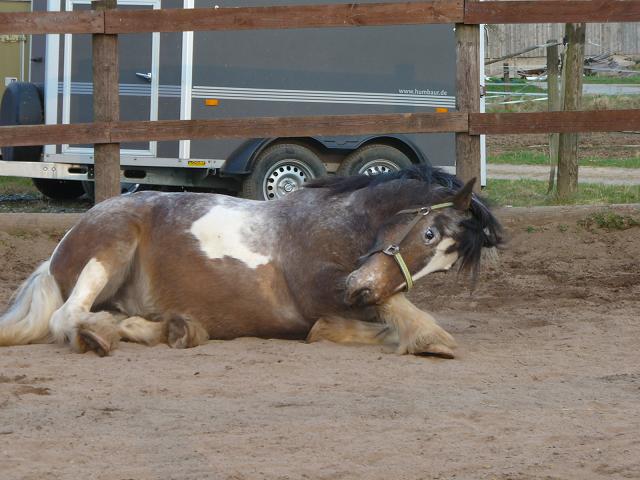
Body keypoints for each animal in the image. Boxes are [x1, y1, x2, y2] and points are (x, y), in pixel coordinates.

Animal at [0, 165, 502, 356]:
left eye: (443, 267)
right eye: (429, 233)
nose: (361, 290)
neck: (337, 221)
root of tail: (58, 253)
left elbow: (389, 311)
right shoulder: (321, 292)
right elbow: (391, 310)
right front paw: (430, 339)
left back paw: (172, 329)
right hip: (111, 248)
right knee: (68, 317)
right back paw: (99, 336)